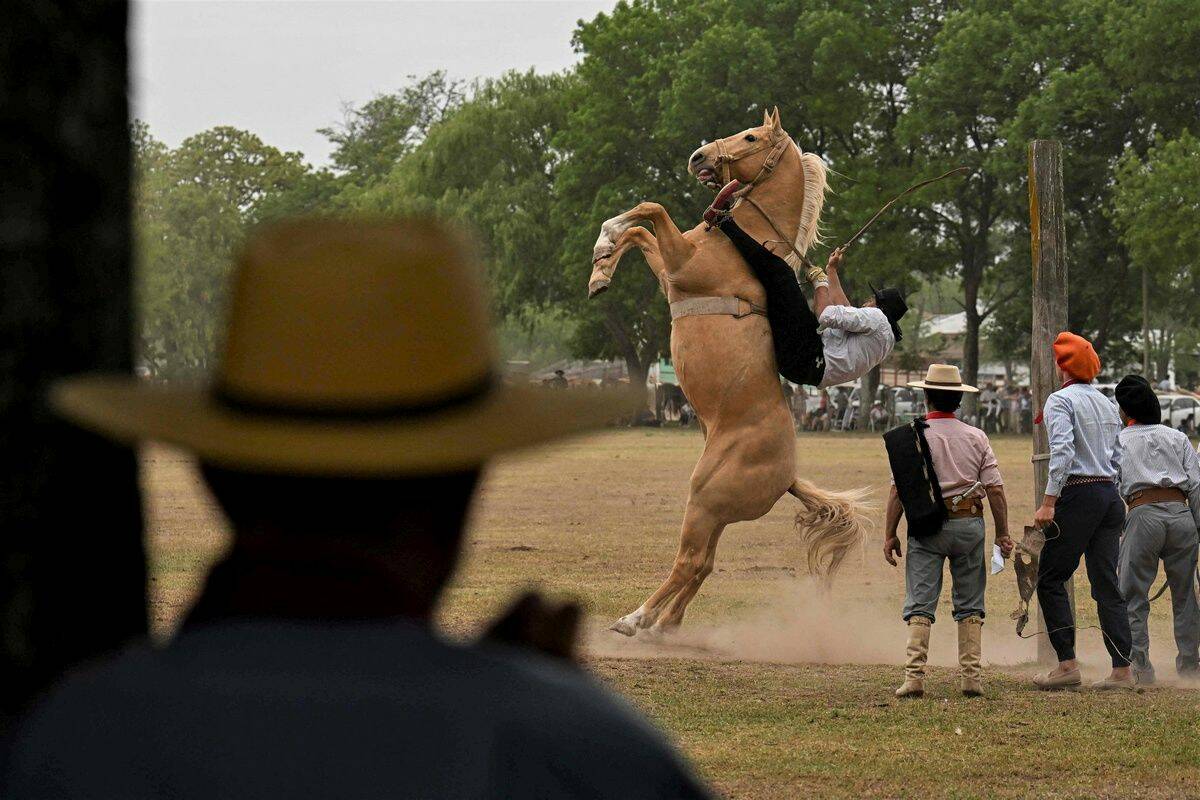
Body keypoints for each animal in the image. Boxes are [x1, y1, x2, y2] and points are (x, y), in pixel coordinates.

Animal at [588, 106, 864, 633]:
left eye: (751, 136)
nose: (698, 156)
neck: (748, 243)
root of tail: (788, 476)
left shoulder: (681, 265)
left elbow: (651, 211)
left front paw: (604, 245)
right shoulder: (668, 270)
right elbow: (641, 230)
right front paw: (601, 266)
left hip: (703, 499)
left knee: (690, 561)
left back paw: (636, 619)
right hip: (714, 513)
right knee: (704, 564)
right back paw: (665, 625)